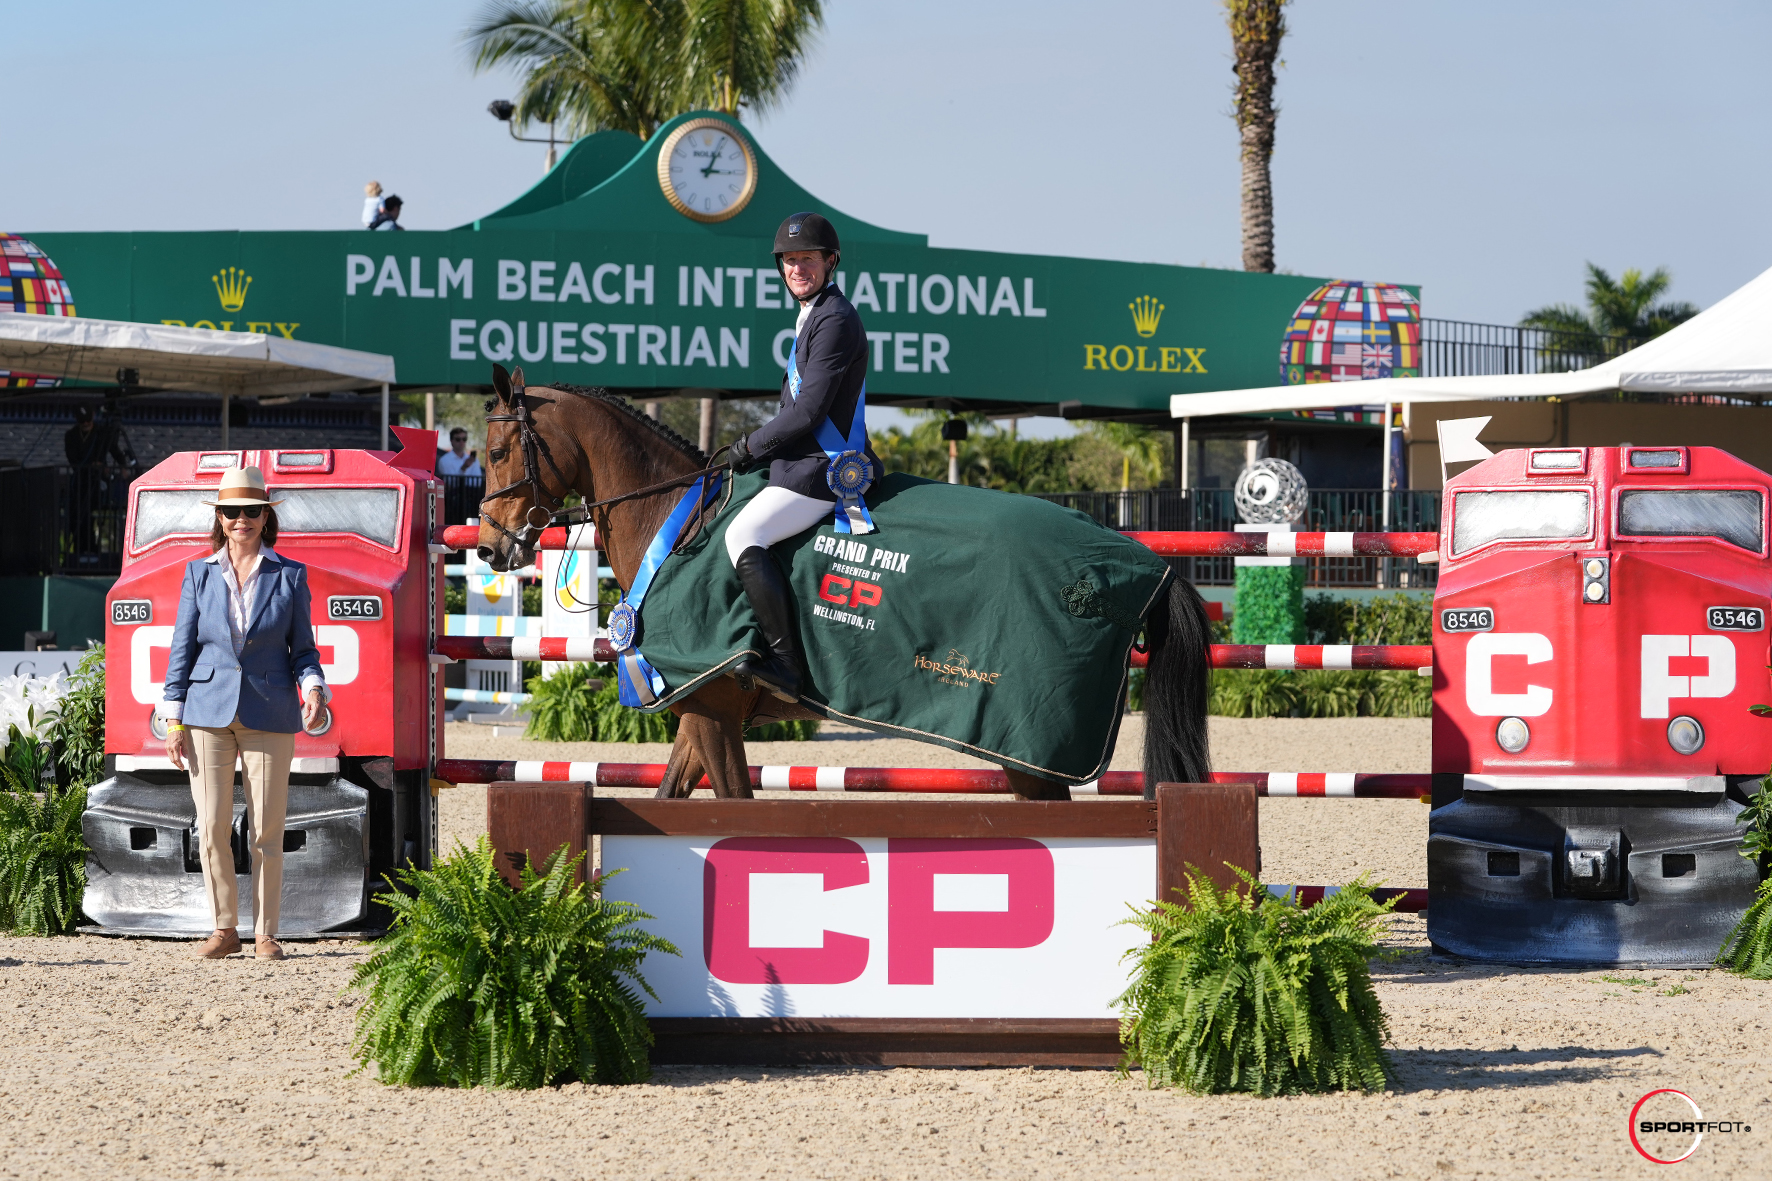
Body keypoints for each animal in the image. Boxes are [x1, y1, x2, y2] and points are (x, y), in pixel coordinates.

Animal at [474, 361, 1219, 801]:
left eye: (498, 450)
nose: (489, 547)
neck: (677, 521)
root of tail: (1137, 563)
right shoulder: (703, 705)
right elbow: (673, 798)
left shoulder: (711, 707)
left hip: (1024, 745)